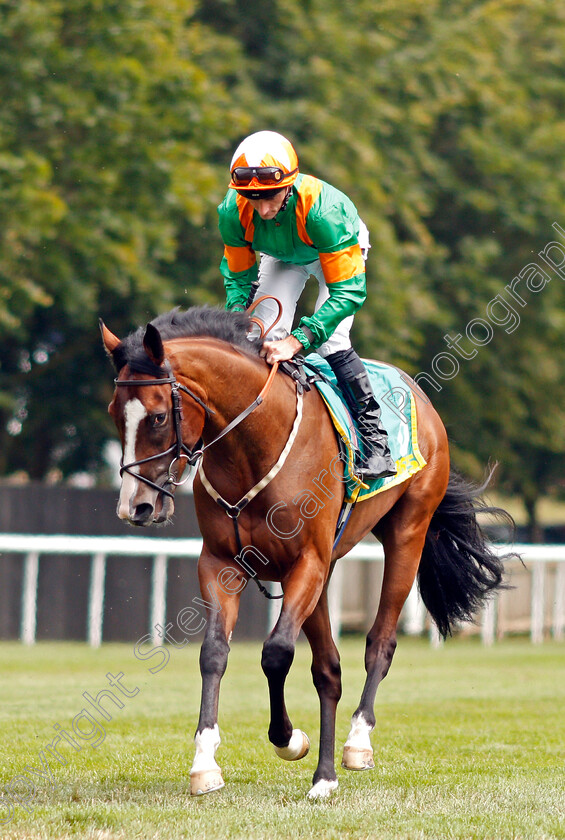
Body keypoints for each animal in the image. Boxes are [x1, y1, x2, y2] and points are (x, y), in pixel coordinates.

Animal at [101, 306, 512, 800]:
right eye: (114, 413)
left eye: (159, 417)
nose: (135, 507)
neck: (252, 447)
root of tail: (416, 393)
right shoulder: (221, 564)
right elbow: (215, 653)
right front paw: (204, 764)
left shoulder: (307, 562)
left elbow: (276, 652)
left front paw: (288, 738)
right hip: (327, 571)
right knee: (328, 668)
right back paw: (326, 775)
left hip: (407, 533)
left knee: (380, 642)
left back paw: (355, 744)